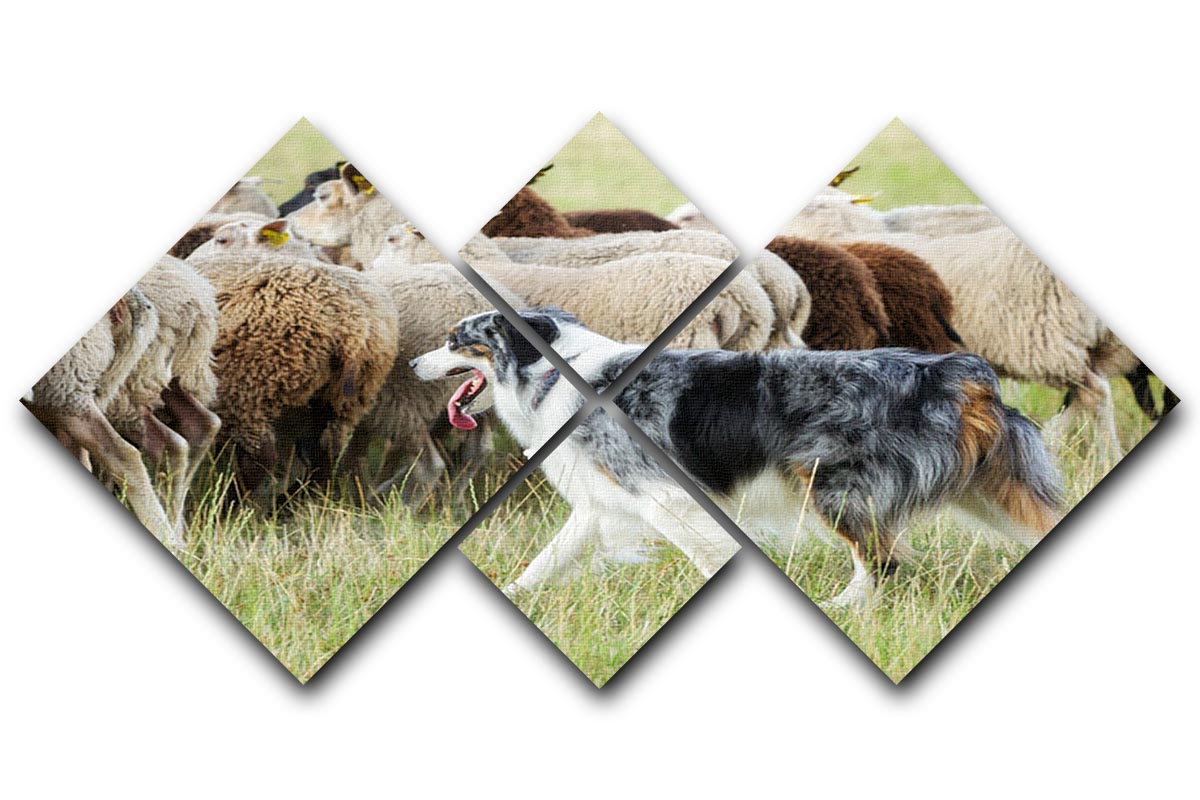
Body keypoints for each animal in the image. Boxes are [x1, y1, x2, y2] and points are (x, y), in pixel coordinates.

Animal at [187, 251, 399, 504]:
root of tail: (353, 327)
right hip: (343, 399)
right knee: (324, 459)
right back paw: (287, 503)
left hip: (249, 385)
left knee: (261, 457)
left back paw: (232, 504)